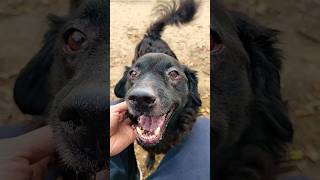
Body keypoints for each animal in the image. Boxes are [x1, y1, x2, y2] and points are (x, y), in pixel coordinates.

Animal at [114, 0, 201, 170]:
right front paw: (150, 159)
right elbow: (151, 151)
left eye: (174, 74)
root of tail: (151, 35)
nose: (140, 98)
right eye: (132, 73)